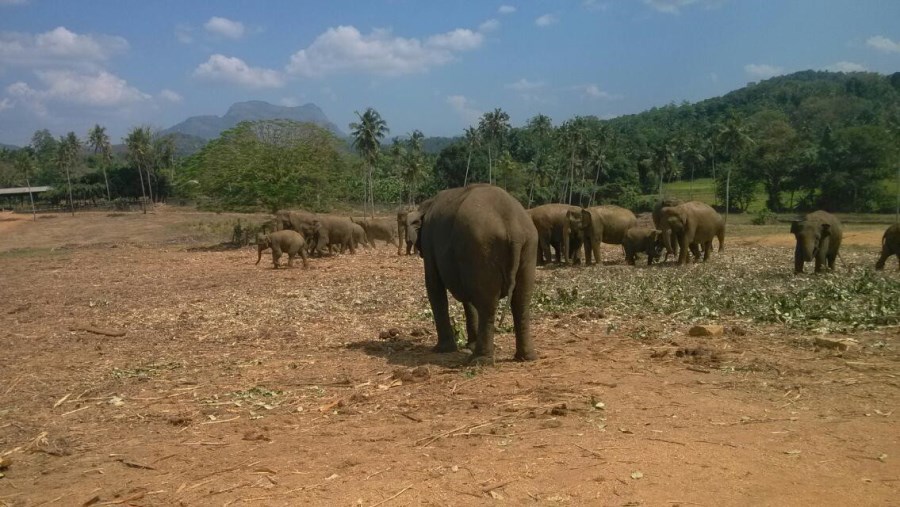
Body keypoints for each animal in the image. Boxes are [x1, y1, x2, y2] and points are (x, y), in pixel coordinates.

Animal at [414, 185, 536, 364]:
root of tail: (514, 230)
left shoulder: (429, 241)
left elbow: (434, 286)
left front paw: (441, 350)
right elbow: (469, 298)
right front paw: (468, 345)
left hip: (482, 248)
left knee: (488, 304)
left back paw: (479, 360)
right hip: (528, 248)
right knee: (522, 300)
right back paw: (526, 357)